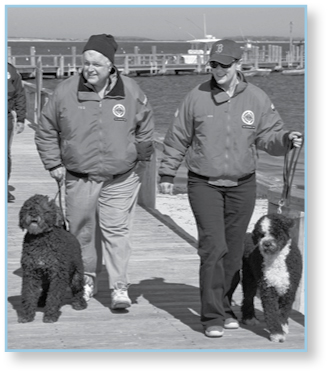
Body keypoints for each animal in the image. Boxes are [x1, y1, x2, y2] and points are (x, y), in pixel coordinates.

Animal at [18, 194, 87, 322]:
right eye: (28, 207)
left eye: (44, 208)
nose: (33, 214)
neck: (40, 238)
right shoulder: (31, 272)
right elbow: (29, 294)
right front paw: (26, 315)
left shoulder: (58, 274)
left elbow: (54, 295)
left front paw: (50, 315)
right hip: (45, 277)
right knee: (45, 289)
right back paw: (41, 300)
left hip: (76, 275)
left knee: (78, 289)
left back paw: (79, 303)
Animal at [240, 213, 302, 342]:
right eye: (261, 235)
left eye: (275, 232)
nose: (267, 243)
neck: (277, 260)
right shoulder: (268, 287)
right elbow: (271, 311)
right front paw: (277, 333)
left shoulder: (289, 288)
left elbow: (284, 311)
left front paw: (283, 326)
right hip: (249, 278)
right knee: (248, 297)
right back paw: (249, 318)